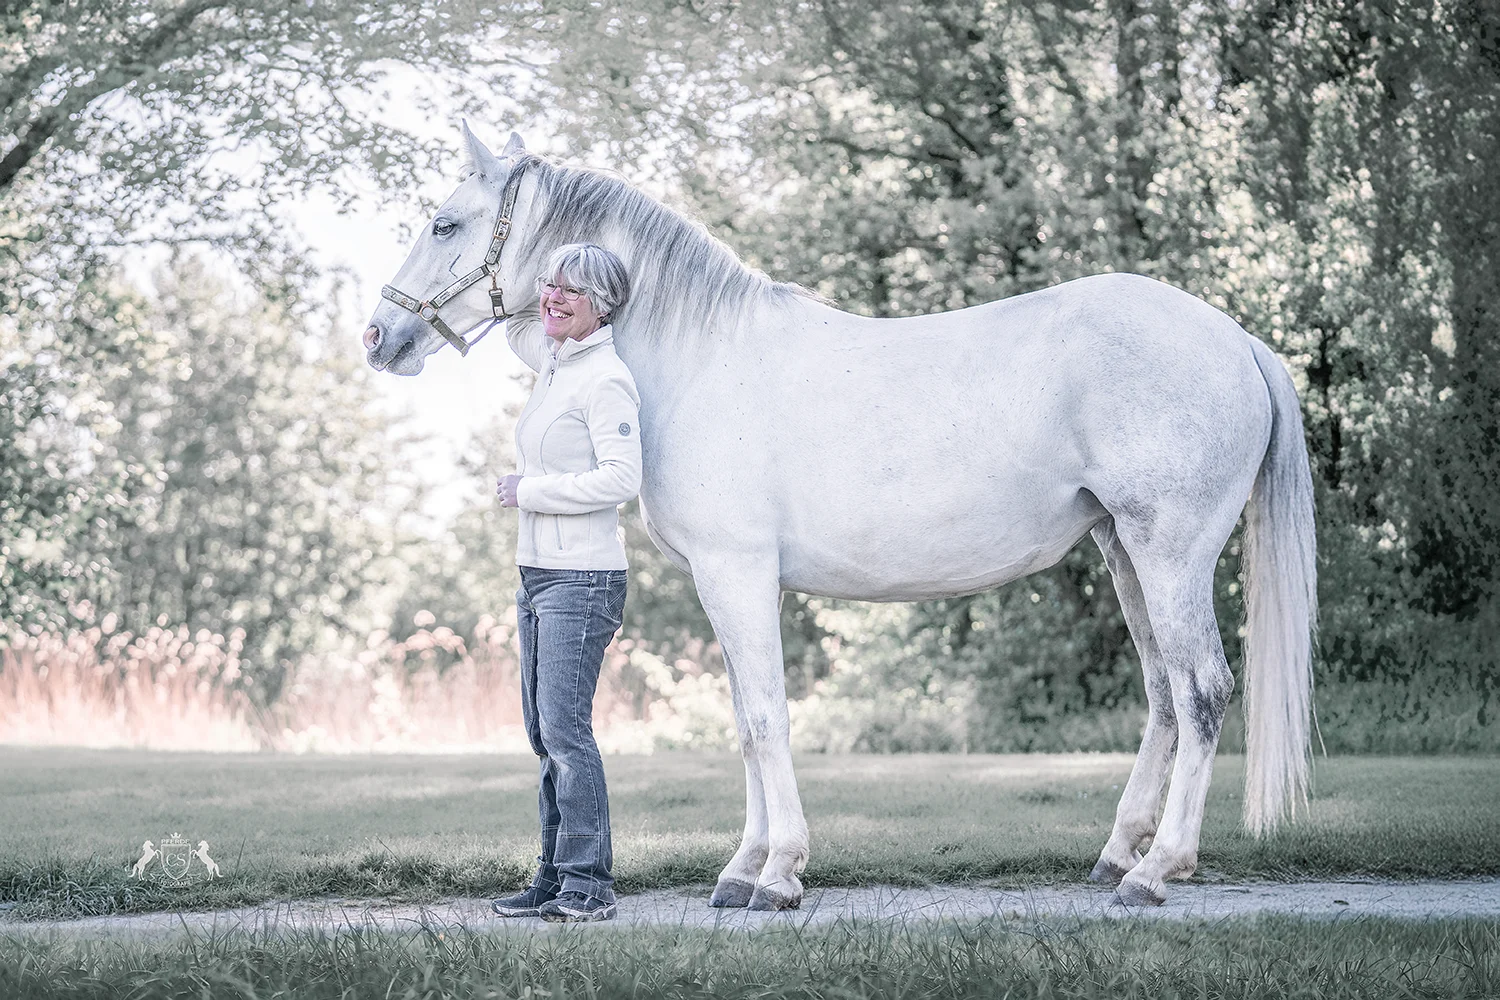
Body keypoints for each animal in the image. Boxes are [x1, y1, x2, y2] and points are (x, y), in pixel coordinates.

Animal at [362, 125, 1317, 909]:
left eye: (444, 224)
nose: (377, 337)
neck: (695, 357)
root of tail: (1237, 340)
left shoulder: (738, 572)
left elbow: (765, 719)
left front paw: (779, 873)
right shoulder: (728, 584)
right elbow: (748, 720)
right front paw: (742, 869)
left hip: (1171, 551)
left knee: (1201, 692)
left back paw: (1158, 872)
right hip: (1125, 551)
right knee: (1163, 697)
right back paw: (1120, 855)